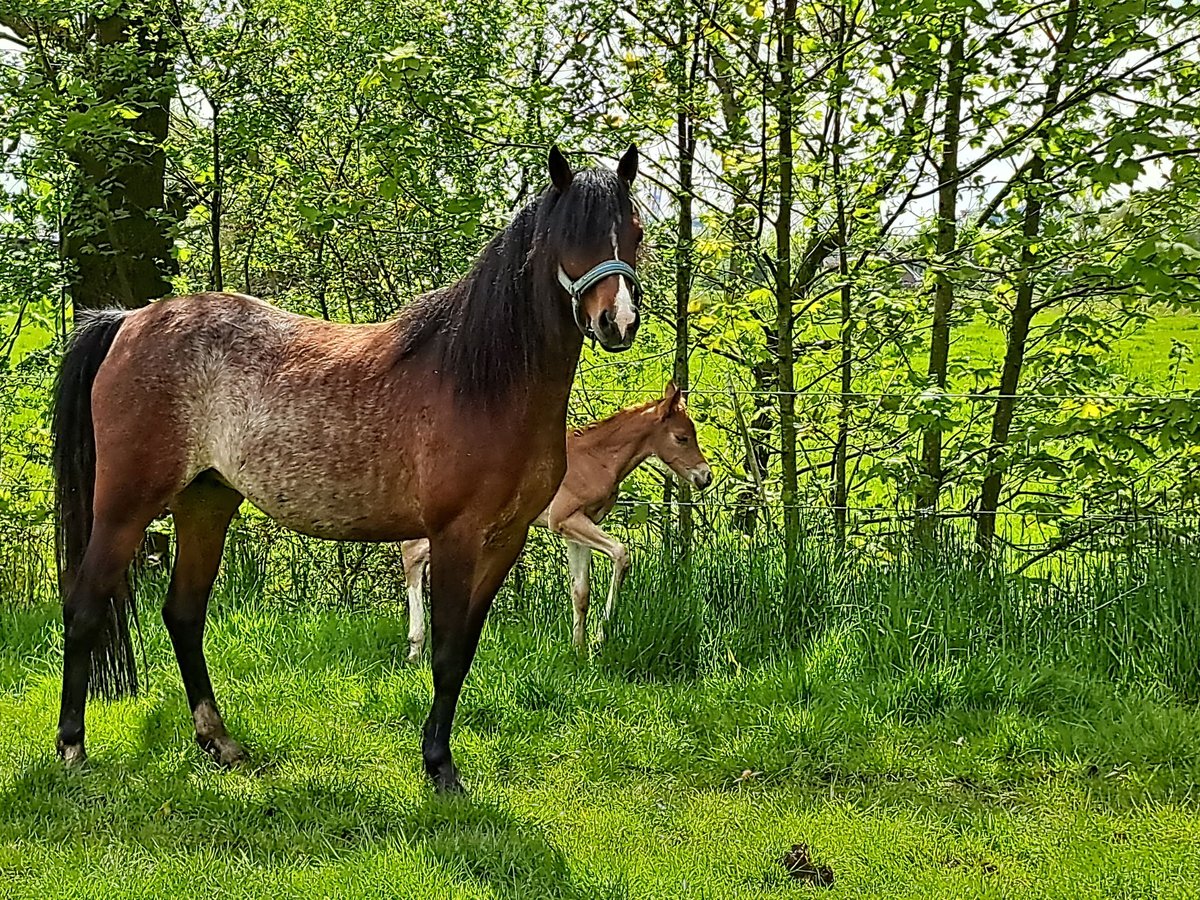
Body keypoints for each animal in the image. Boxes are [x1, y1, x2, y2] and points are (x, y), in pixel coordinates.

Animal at [50, 144, 648, 792]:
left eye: (634, 232)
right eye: (571, 236)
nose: (618, 322)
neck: (485, 381)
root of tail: (128, 321)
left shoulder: (506, 538)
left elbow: (464, 650)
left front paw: (439, 758)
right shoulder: (455, 535)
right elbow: (444, 651)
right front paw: (440, 767)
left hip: (206, 501)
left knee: (183, 614)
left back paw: (220, 742)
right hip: (124, 506)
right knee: (84, 608)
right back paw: (72, 749)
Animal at [408, 381, 710, 657]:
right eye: (682, 437)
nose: (706, 477)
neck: (596, 458)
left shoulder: (579, 528)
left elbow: (581, 592)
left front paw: (579, 649)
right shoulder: (566, 520)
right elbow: (621, 553)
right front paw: (601, 636)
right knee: (411, 554)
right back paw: (415, 646)